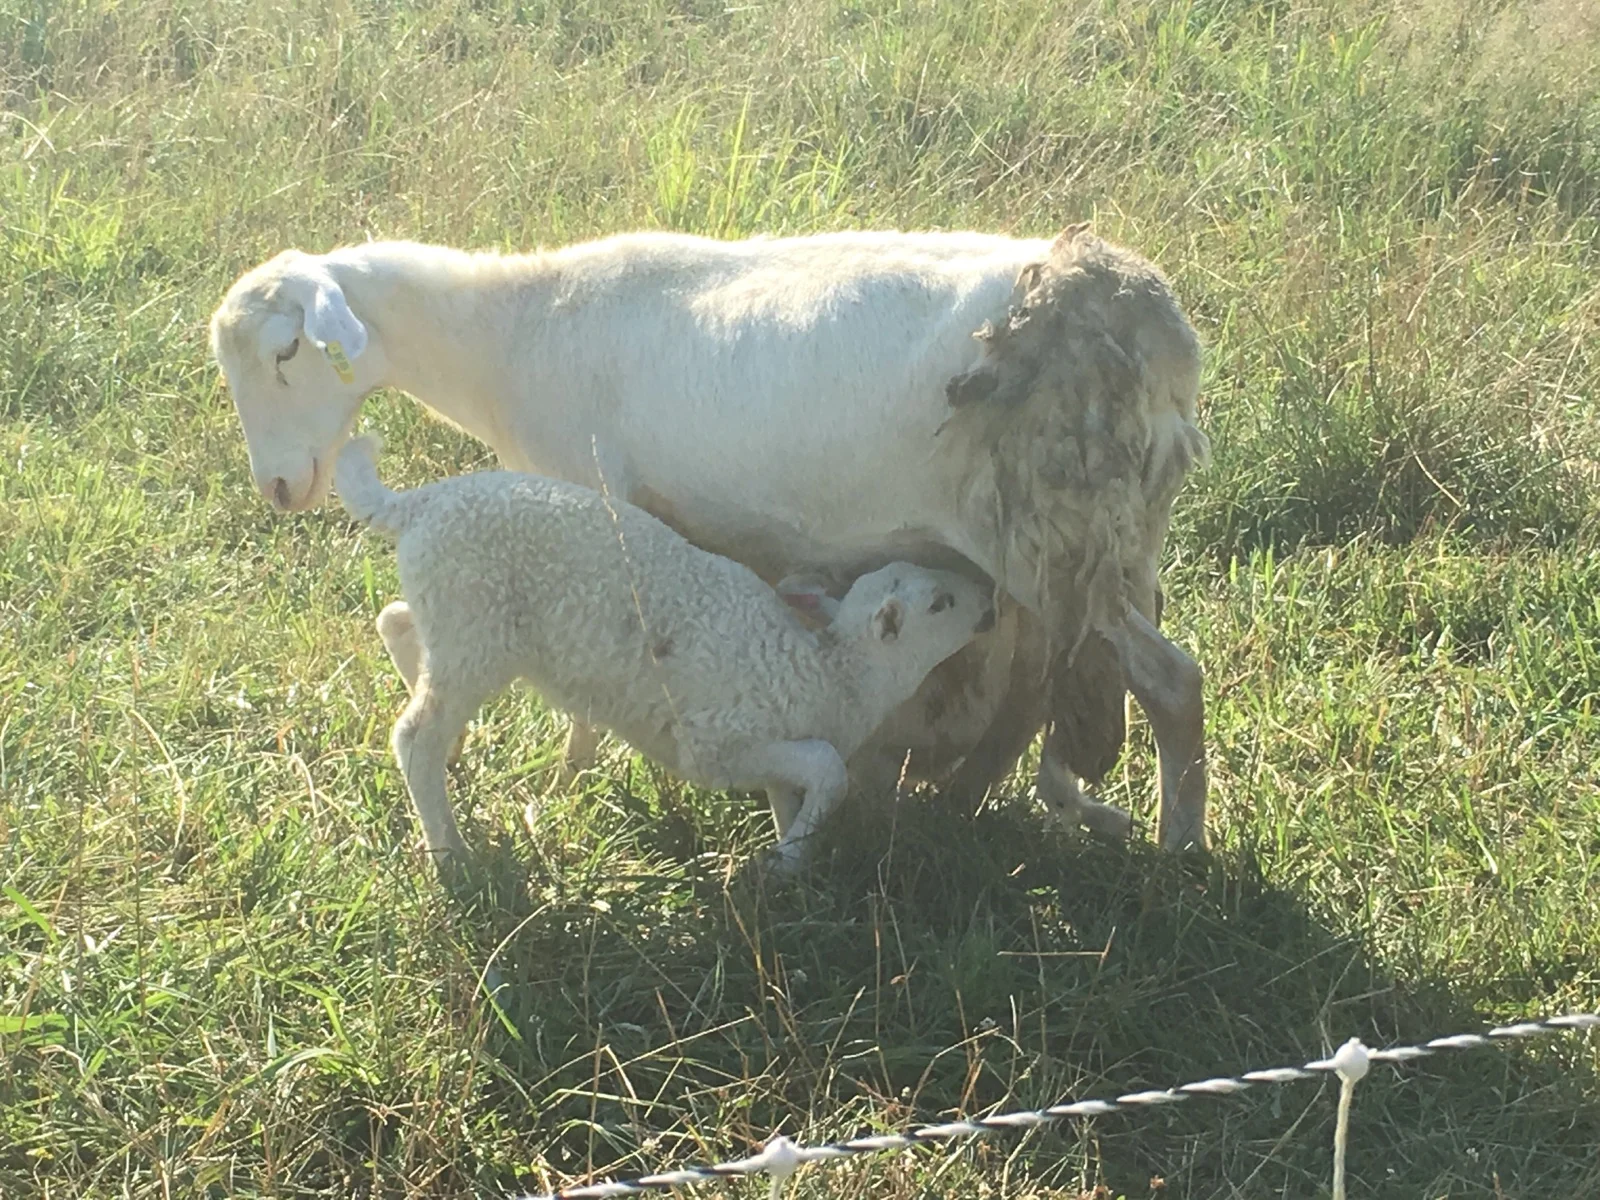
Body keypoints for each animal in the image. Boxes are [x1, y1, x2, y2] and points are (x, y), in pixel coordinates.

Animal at [332, 433, 997, 864]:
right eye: (941, 602)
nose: (990, 596)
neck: (833, 668)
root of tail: (421, 502)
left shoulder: (775, 746)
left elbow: (800, 788)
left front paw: (791, 857)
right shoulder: (719, 744)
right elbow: (828, 770)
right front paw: (785, 865)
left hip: (454, 611)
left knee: (397, 622)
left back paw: (450, 747)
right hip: (475, 627)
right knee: (414, 735)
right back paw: (452, 855)